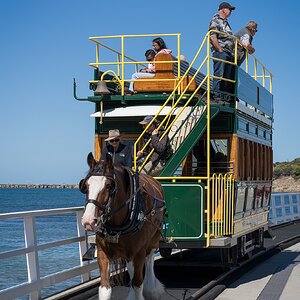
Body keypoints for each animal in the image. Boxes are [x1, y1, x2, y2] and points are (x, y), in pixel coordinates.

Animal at [78, 154, 165, 298]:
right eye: (86, 186)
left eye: (109, 186)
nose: (88, 221)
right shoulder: (102, 253)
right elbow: (105, 289)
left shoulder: (139, 253)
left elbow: (138, 284)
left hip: (154, 238)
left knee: (149, 259)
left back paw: (152, 290)